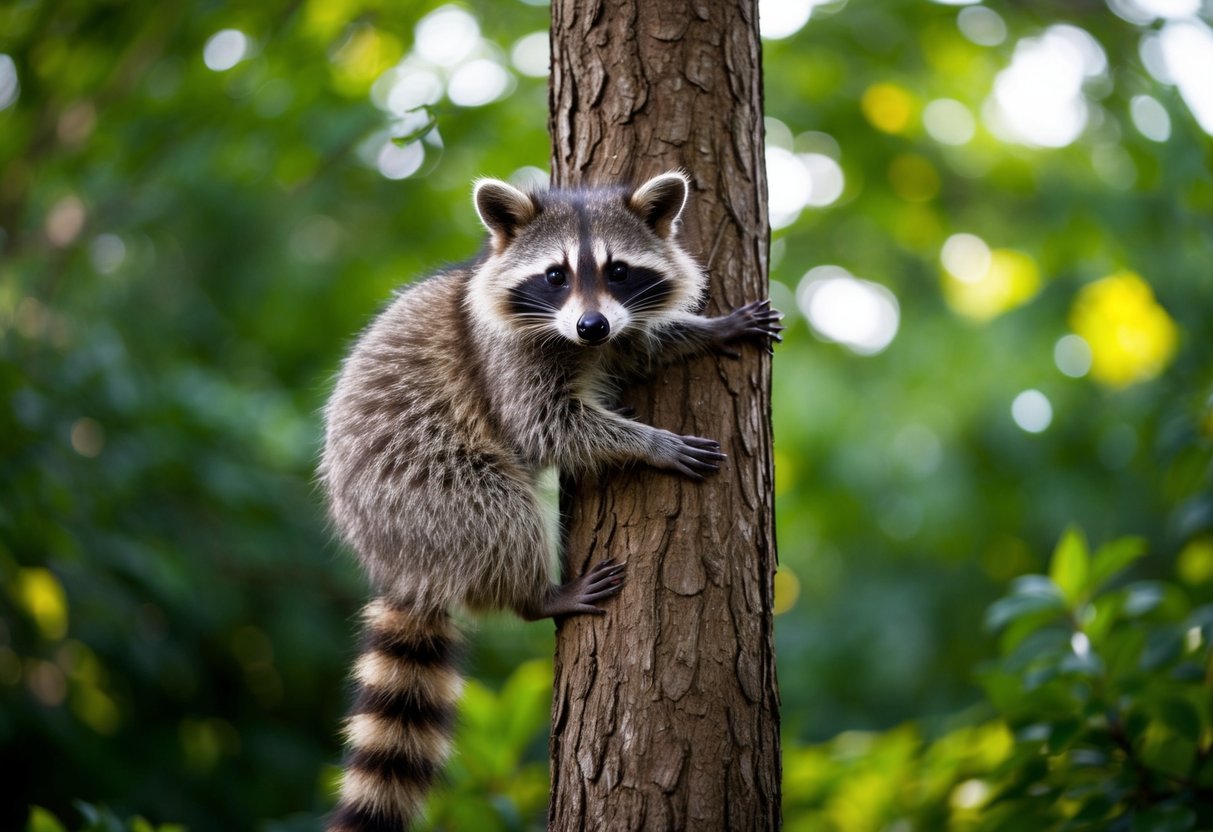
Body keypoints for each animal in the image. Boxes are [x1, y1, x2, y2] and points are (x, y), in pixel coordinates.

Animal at [320, 171, 781, 831]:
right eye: (555, 275)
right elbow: (547, 428)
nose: (591, 326)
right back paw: (537, 595)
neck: (575, 338)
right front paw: (649, 443)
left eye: (619, 271)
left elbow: (637, 345)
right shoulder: (505, 359)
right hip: (421, 490)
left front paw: (700, 331)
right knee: (501, 512)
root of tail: (397, 559)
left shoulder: (611, 330)